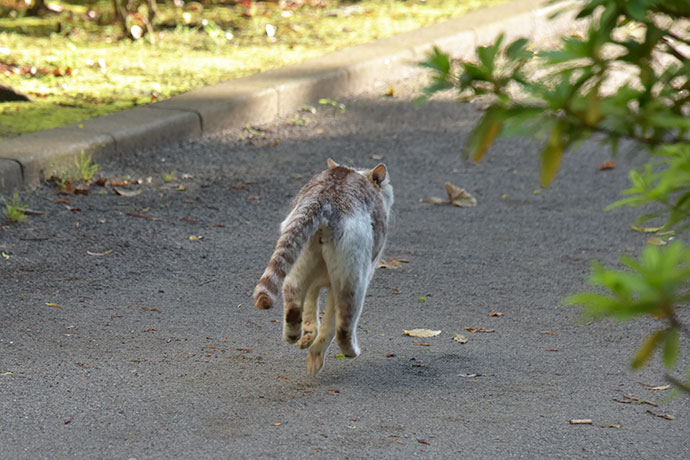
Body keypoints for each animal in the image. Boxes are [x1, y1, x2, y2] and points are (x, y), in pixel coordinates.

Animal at [253, 158, 392, 374]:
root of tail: (326, 199)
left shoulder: (314, 281)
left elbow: (311, 306)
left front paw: (308, 334)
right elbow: (329, 321)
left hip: (297, 258)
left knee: (292, 297)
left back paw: (294, 335)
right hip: (353, 281)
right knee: (343, 326)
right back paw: (347, 351)